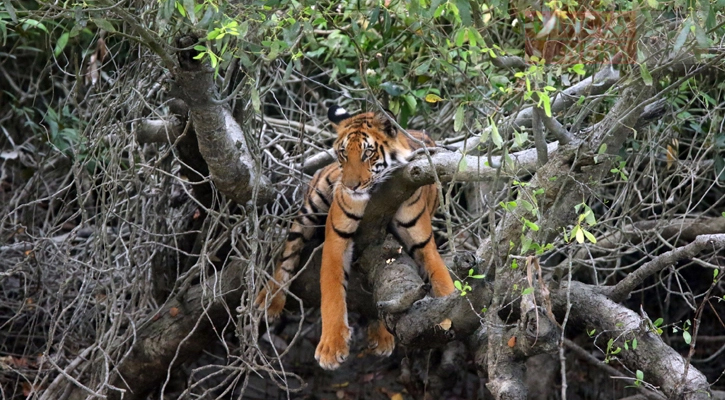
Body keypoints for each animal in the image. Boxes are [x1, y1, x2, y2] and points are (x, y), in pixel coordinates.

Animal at [256, 104, 452, 370]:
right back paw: (269, 301)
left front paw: (450, 314)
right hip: (312, 205)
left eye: (368, 153)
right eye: (343, 154)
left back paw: (382, 335)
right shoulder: (336, 238)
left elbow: (442, 278)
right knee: (288, 255)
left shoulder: (422, 241)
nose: (350, 187)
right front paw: (331, 348)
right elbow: (331, 293)